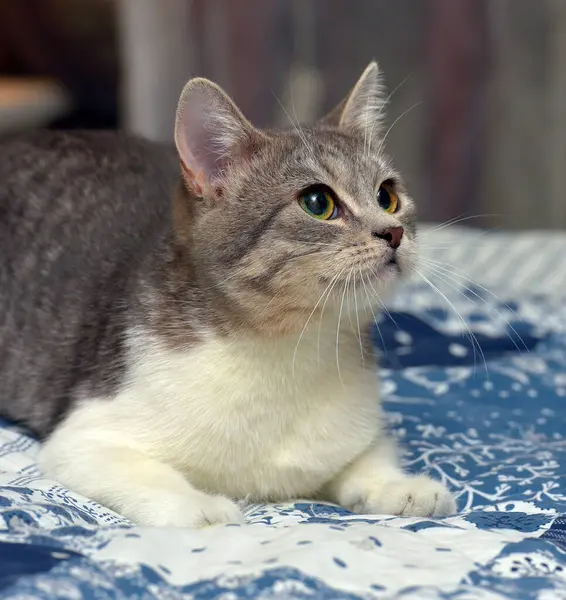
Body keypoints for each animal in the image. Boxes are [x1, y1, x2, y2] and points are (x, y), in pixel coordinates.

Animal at [0, 63, 458, 528]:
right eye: (317, 202)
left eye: (387, 196)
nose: (394, 231)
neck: (289, 348)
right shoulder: (82, 437)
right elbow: (145, 473)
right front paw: (200, 507)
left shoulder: (353, 431)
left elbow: (366, 457)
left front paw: (397, 486)